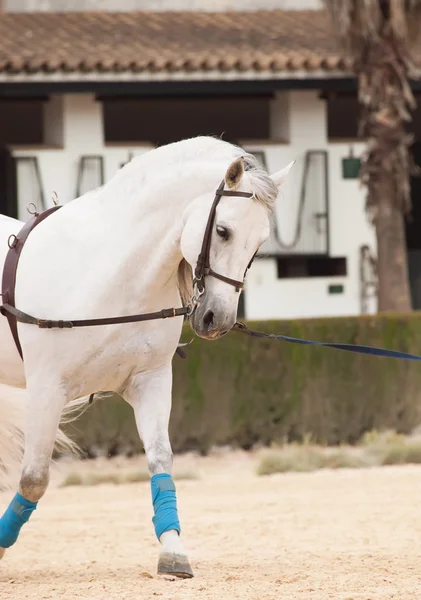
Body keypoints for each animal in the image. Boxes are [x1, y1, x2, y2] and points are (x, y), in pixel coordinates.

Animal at [0, 136, 292, 576]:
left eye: (258, 244)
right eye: (223, 231)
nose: (218, 320)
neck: (108, 276)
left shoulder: (149, 382)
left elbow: (160, 462)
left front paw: (173, 552)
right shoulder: (46, 391)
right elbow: (34, 478)